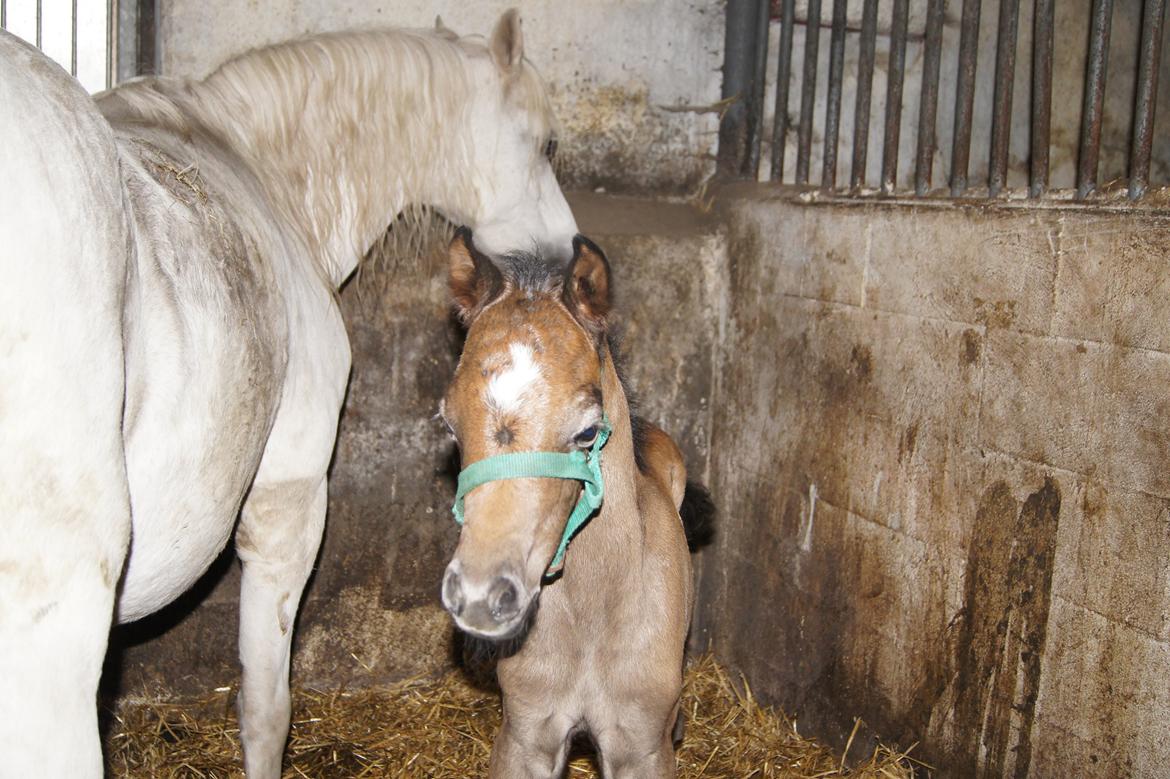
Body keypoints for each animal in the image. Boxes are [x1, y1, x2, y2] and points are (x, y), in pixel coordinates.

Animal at [437, 229, 714, 778]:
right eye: (450, 425)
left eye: (587, 433)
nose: (479, 596)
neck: (592, 620)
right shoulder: (527, 734)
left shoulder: (639, 747)